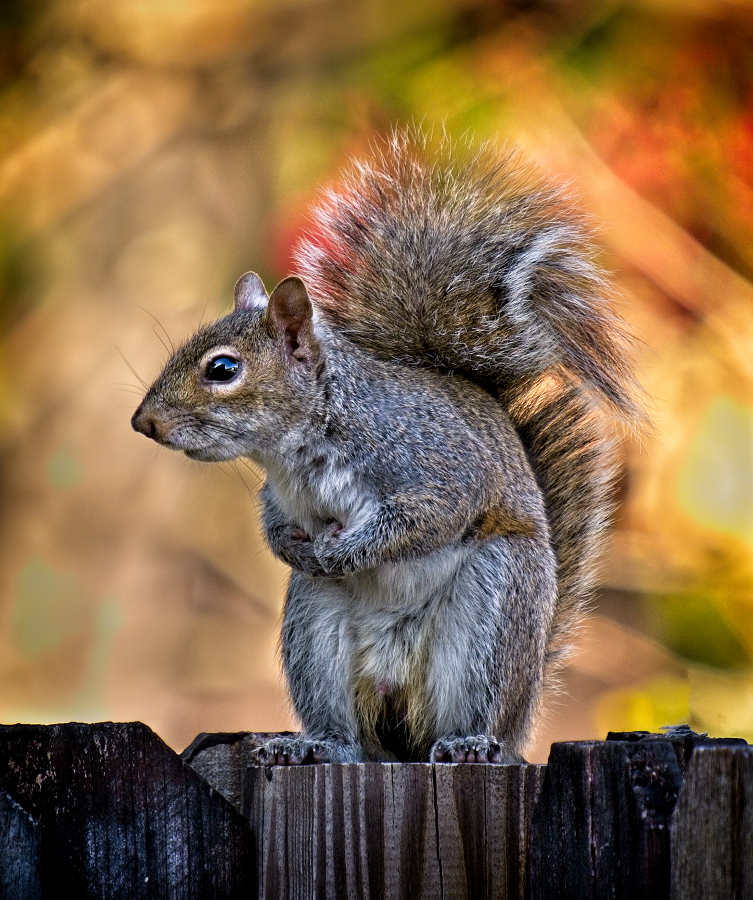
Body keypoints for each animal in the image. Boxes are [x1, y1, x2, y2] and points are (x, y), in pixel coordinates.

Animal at [129, 130, 640, 764]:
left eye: (223, 369)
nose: (144, 422)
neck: (300, 452)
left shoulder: (433, 466)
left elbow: (425, 517)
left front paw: (345, 552)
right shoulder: (280, 496)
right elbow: (275, 525)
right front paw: (291, 548)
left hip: (495, 607)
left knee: (472, 713)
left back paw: (470, 744)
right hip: (315, 629)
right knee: (352, 738)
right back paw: (315, 746)